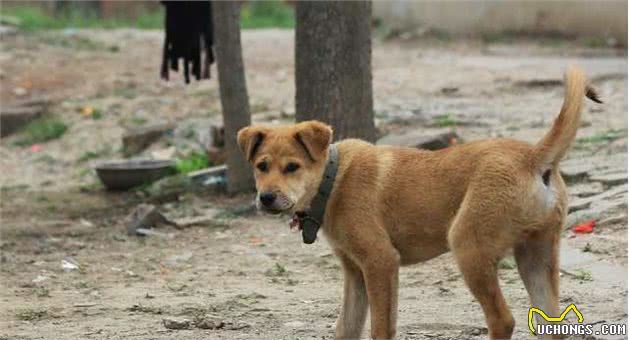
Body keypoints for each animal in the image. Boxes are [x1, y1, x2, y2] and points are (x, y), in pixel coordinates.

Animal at [237, 67, 604, 340]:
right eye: (262, 166)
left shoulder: (381, 262)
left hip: (468, 247)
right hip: (536, 255)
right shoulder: (355, 272)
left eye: (292, 167)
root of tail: (532, 157)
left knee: (503, 320)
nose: (266, 198)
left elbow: (381, 328)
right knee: (551, 324)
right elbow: (346, 328)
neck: (333, 179)